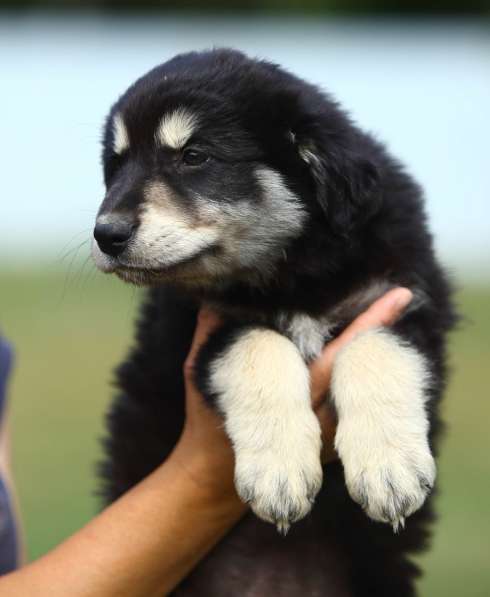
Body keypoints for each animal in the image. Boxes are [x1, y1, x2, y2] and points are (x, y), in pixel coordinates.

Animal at [91, 49, 456, 592]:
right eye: (116, 165)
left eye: (194, 156)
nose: (106, 234)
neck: (294, 269)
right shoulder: (200, 327)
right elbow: (259, 347)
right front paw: (279, 474)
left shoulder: (407, 296)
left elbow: (375, 348)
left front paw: (389, 468)